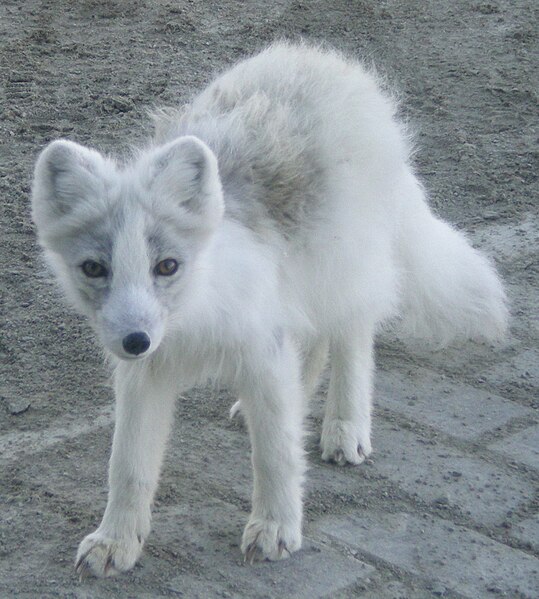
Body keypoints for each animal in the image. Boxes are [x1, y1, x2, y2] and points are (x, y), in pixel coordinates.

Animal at [31, 42, 508, 576]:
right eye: (94, 268)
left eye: (167, 265)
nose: (135, 341)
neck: (196, 312)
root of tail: (325, 58)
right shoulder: (145, 374)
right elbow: (128, 464)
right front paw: (115, 541)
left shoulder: (261, 351)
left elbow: (276, 453)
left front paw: (277, 527)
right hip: (300, 286)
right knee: (312, 345)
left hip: (344, 265)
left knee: (353, 338)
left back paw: (345, 426)